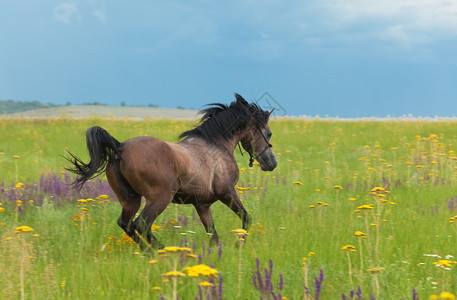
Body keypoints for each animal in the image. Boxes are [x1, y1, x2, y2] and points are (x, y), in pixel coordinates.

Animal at [65, 94, 276, 248]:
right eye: (269, 133)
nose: (272, 163)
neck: (216, 145)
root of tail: (120, 147)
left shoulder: (202, 205)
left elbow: (213, 233)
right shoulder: (227, 192)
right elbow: (246, 218)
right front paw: (239, 245)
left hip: (130, 200)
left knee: (127, 225)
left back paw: (151, 252)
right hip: (160, 198)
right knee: (141, 225)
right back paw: (161, 251)